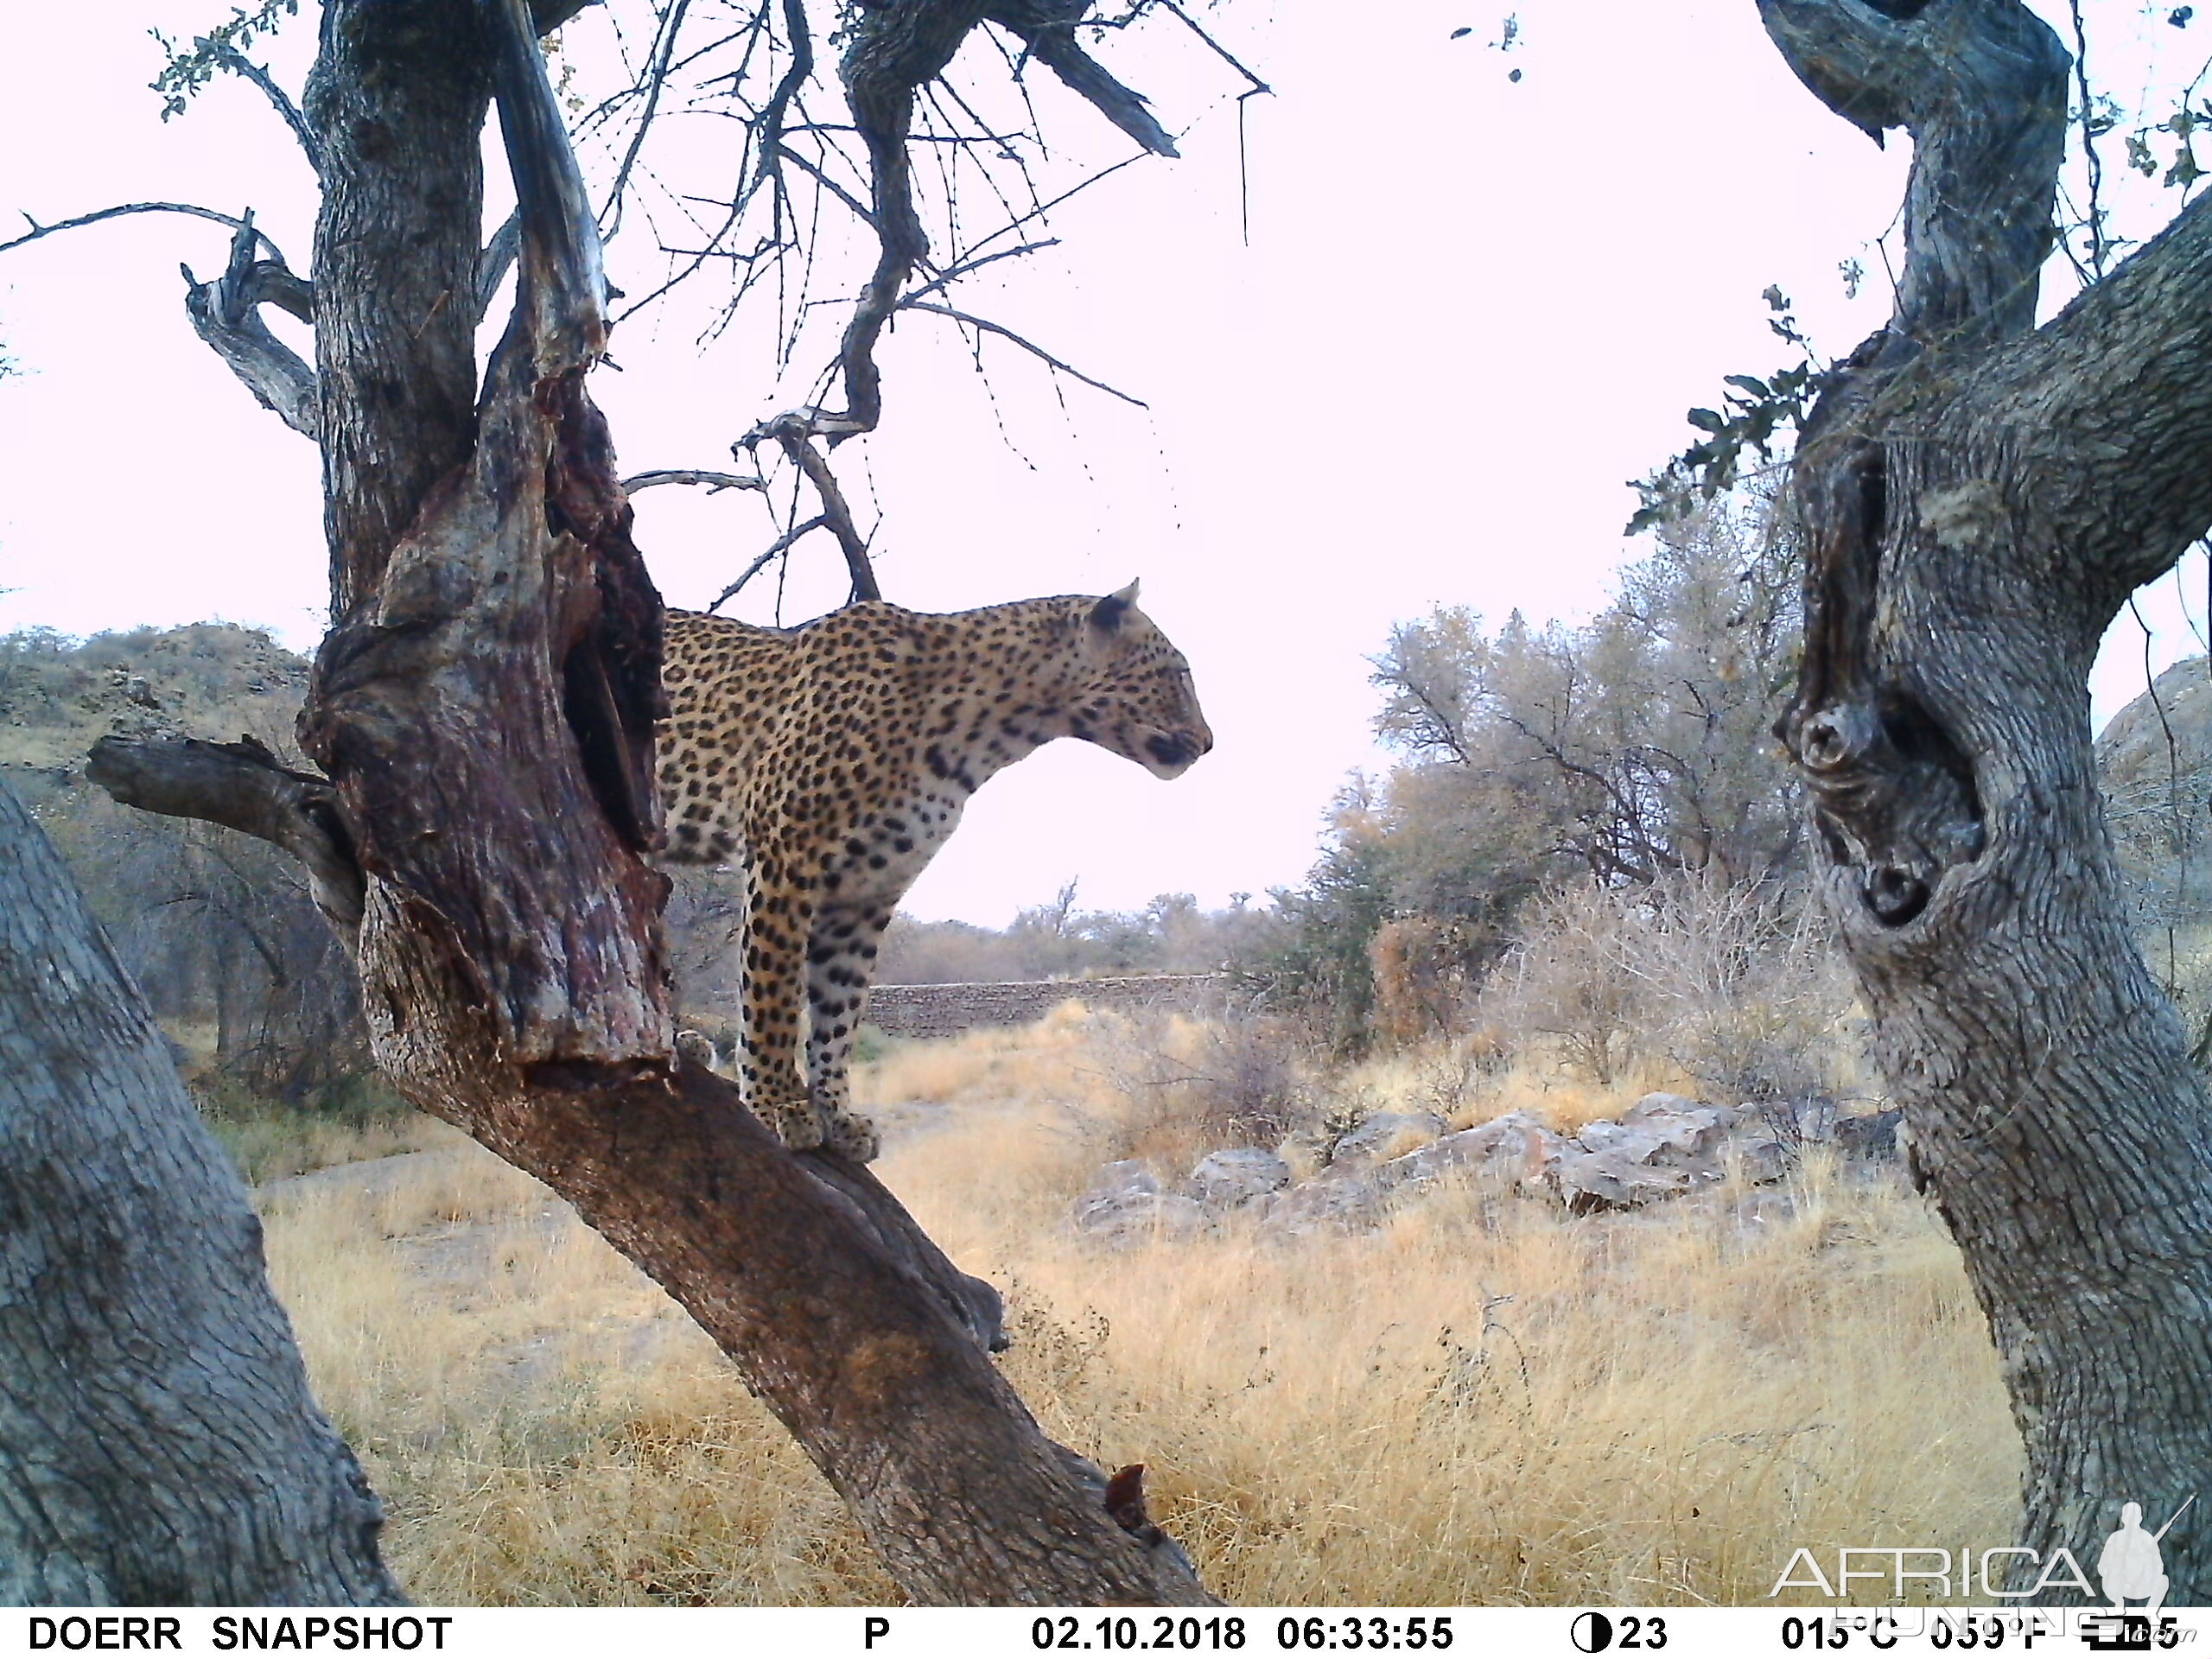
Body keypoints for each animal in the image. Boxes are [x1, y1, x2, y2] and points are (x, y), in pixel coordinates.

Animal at [654, 593, 1211, 1159]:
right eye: (1178, 674)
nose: (1209, 742)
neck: (984, 732)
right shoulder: (787, 855)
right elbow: (774, 995)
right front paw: (777, 1102)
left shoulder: (866, 893)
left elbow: (839, 1011)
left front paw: (838, 1114)